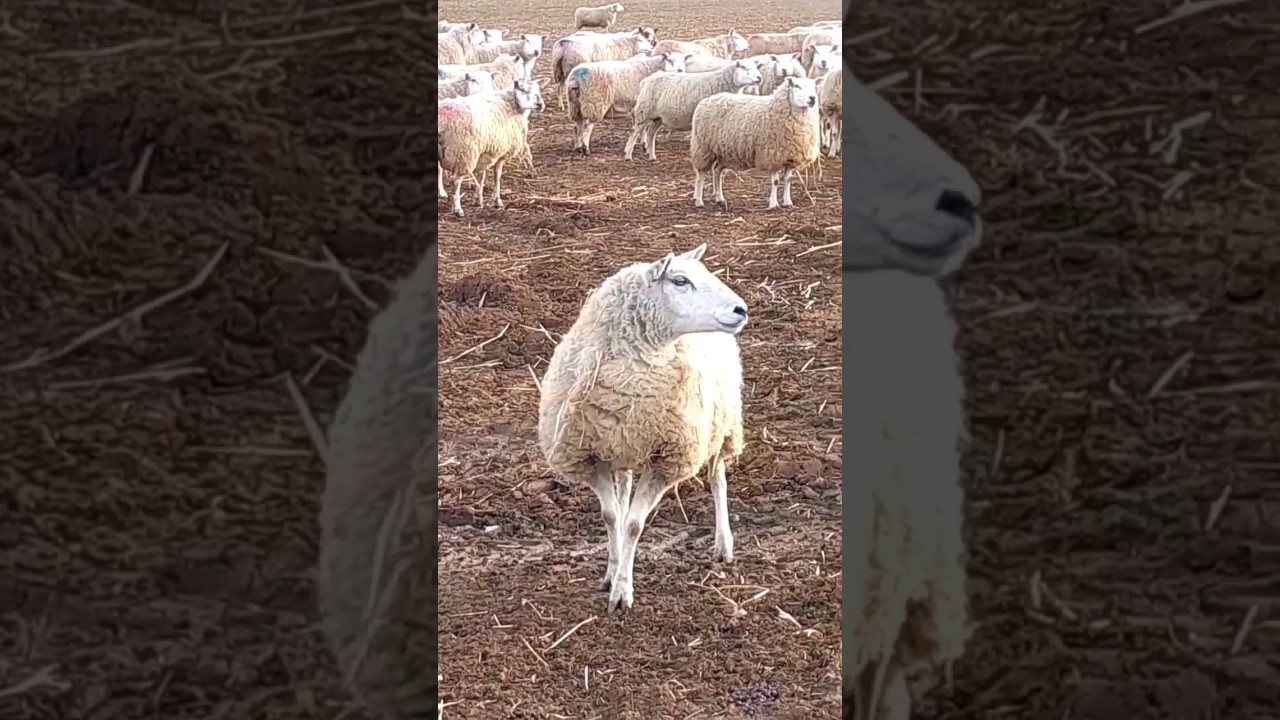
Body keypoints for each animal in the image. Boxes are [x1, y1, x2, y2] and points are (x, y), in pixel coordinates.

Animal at [438, 79, 545, 217]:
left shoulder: (484, 153)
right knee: (455, 181)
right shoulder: (501, 154)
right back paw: (457, 209)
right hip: (464, 153)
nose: (540, 104)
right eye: (523, 90)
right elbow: (497, 176)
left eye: (538, 91)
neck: (511, 103)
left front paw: (478, 200)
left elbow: (481, 176)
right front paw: (497, 201)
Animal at [537, 243, 748, 614]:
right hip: (624, 449)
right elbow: (611, 516)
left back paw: (724, 545)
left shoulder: (667, 460)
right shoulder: (591, 456)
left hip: (721, 423)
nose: (742, 310)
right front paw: (612, 573)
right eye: (680, 280)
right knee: (623, 492)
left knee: (717, 479)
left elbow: (634, 525)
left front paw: (622, 592)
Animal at [623, 59, 763, 161]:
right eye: (744, 67)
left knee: (651, 133)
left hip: (658, 117)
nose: (759, 77)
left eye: (756, 67)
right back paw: (628, 156)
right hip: (644, 111)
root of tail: (647, 79)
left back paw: (652, 156)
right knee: (634, 132)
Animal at [689, 75, 821, 210]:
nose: (812, 99)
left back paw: (719, 198)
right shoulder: (771, 156)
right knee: (700, 175)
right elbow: (776, 181)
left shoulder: (790, 157)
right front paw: (773, 204)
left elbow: (788, 180)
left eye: (814, 87)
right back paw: (698, 200)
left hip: (724, 152)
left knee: (717, 171)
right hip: (703, 147)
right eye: (796, 86)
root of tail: (708, 99)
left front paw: (788, 202)